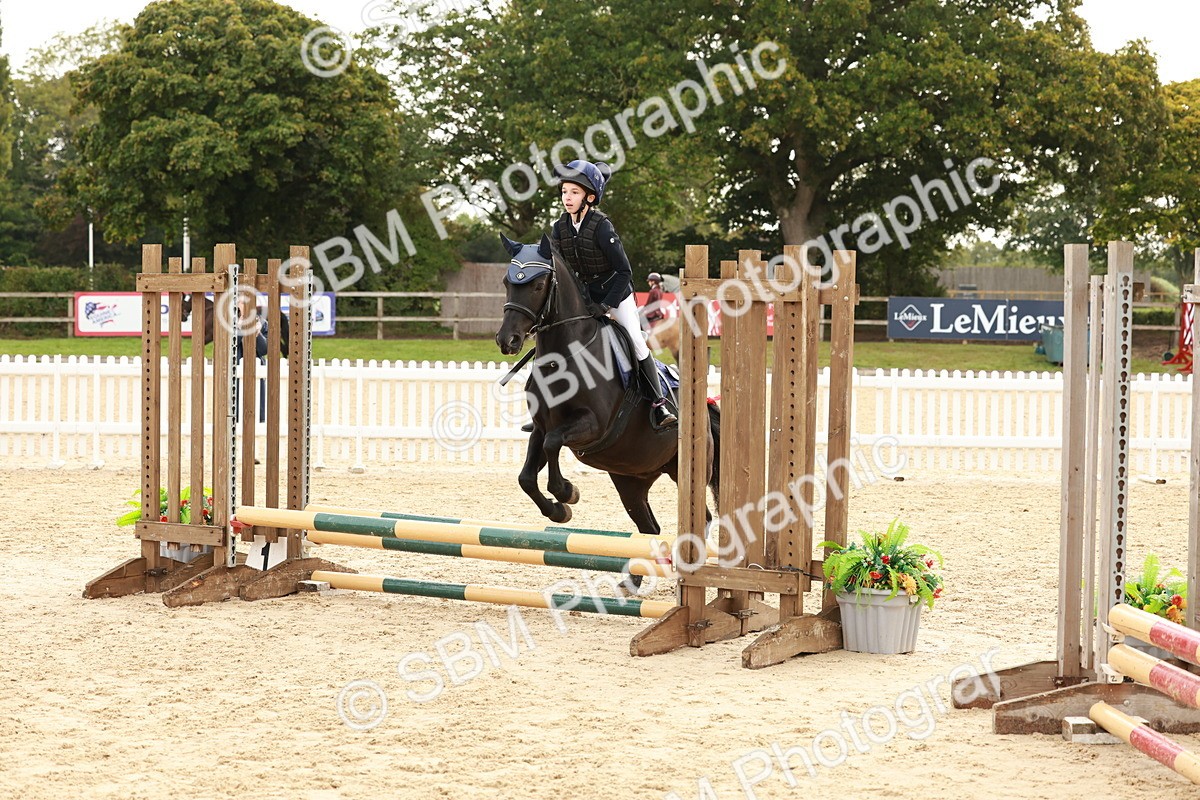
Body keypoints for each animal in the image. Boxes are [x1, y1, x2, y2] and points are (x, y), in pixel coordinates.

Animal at [495, 233, 721, 543]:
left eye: (538, 285)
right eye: (507, 283)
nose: (508, 340)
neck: (563, 357)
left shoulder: (592, 424)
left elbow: (554, 443)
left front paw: (567, 491)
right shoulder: (541, 427)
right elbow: (527, 477)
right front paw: (559, 510)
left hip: (685, 470)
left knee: (704, 516)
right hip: (631, 479)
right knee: (649, 528)